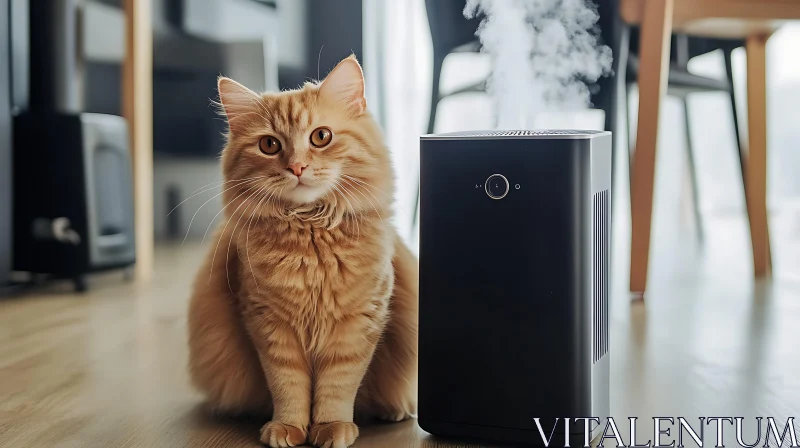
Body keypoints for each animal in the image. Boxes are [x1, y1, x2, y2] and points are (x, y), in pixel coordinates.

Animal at [187, 57, 418, 448]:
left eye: (320, 137)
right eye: (269, 145)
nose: (296, 167)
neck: (311, 237)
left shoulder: (357, 323)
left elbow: (338, 386)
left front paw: (331, 427)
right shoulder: (269, 324)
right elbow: (288, 385)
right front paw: (288, 428)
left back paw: (396, 409)